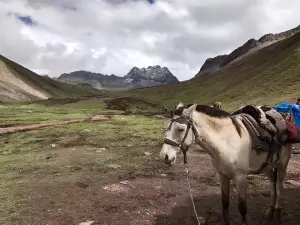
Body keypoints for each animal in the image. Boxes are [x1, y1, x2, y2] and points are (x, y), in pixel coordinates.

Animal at [161, 102, 292, 225]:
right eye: (166, 128)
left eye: (180, 129)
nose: (164, 156)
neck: (227, 142)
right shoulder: (222, 176)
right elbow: (225, 204)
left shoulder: (240, 177)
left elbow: (242, 208)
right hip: (269, 167)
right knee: (272, 185)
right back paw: (270, 213)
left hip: (282, 165)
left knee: (279, 187)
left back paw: (277, 213)